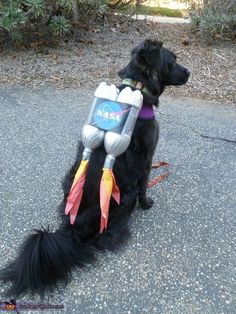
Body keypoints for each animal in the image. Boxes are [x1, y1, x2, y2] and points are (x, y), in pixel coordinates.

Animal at [0, 39, 190, 296]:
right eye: (173, 60)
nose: (189, 72)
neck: (138, 86)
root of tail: (72, 227)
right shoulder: (148, 159)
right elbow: (144, 187)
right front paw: (147, 204)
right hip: (124, 197)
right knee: (106, 236)